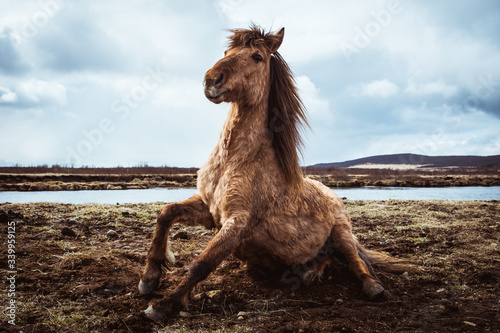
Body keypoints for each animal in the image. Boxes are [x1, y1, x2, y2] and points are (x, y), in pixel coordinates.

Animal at [139, 24, 408, 320]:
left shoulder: (238, 221)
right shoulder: (209, 209)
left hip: (342, 232)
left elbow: (203, 263)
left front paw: (163, 305)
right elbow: (165, 214)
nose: (211, 81)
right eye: (226, 52)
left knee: (354, 260)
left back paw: (371, 287)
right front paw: (149, 278)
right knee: (326, 259)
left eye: (257, 57)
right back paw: (307, 274)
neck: (235, 159)